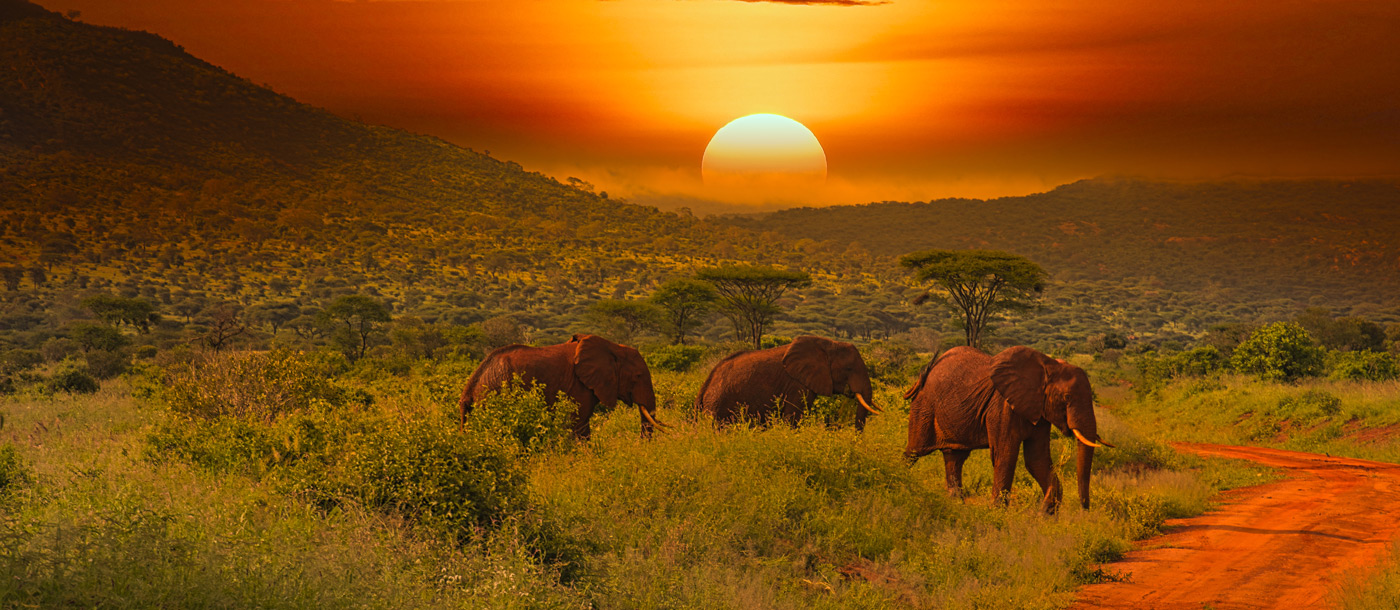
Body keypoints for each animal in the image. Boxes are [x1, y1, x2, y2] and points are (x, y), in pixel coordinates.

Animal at [694, 335, 879, 430]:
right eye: (848, 368)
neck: (828, 344)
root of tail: (704, 387)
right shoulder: (797, 385)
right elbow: (793, 418)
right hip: (718, 407)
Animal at [901, 345, 1120, 512]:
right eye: (1066, 398)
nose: (1085, 509)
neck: (1048, 366)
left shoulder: (1039, 413)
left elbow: (1037, 460)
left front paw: (1045, 515)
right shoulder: (1002, 407)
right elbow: (1005, 456)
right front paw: (998, 515)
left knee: (954, 458)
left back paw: (957, 506)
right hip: (924, 407)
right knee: (914, 451)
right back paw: (900, 483)